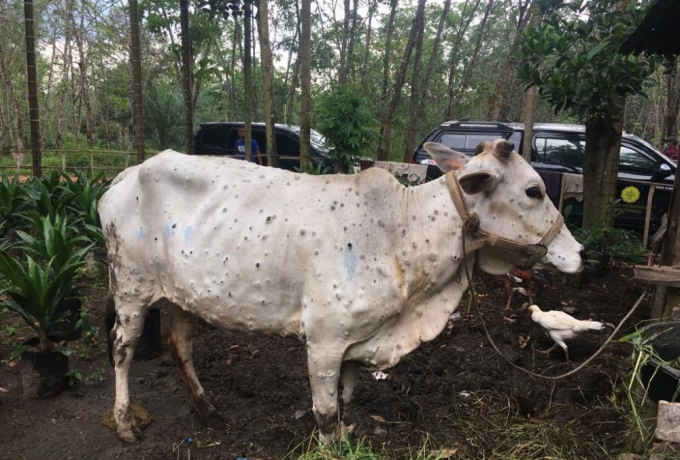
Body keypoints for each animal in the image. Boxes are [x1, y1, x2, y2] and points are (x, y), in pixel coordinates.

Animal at [98, 139, 580, 442]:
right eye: (533, 191)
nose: (579, 252)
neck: (401, 233)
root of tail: (124, 176)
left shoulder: (357, 340)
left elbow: (346, 398)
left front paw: (349, 433)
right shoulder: (324, 342)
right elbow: (326, 413)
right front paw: (332, 441)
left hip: (182, 295)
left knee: (179, 344)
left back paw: (207, 410)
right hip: (130, 287)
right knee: (123, 349)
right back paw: (124, 423)